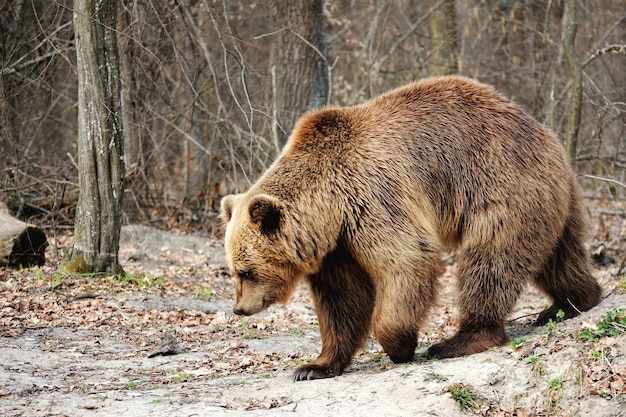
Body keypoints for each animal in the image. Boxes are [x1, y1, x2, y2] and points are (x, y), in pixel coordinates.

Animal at [219, 75, 600, 380]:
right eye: (235, 271)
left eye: (246, 271)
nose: (239, 308)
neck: (329, 207)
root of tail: (544, 132)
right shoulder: (337, 247)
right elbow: (341, 300)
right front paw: (314, 366)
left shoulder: (372, 197)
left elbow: (406, 259)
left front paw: (401, 345)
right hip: (550, 199)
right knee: (559, 255)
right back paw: (572, 301)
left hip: (500, 185)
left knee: (490, 261)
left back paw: (461, 339)